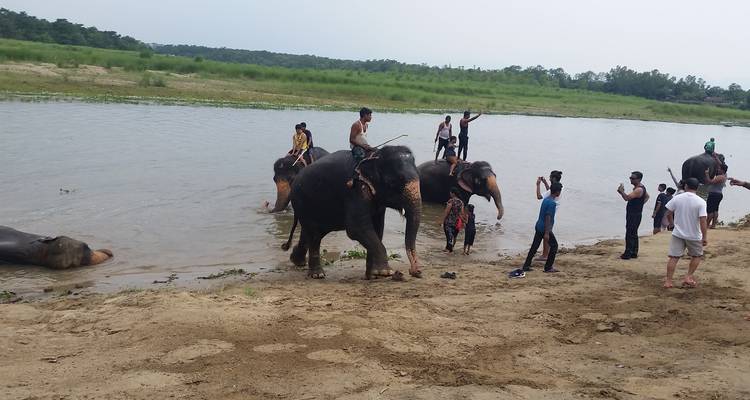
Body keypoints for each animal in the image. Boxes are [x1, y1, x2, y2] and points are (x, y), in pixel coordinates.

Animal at [281, 146, 422, 279]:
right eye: (392, 182)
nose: (415, 272)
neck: (373, 155)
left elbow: (377, 229)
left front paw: (372, 276)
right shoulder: (355, 190)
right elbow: (356, 228)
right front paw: (385, 273)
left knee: (310, 233)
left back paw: (297, 260)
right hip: (302, 203)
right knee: (314, 236)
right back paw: (317, 275)